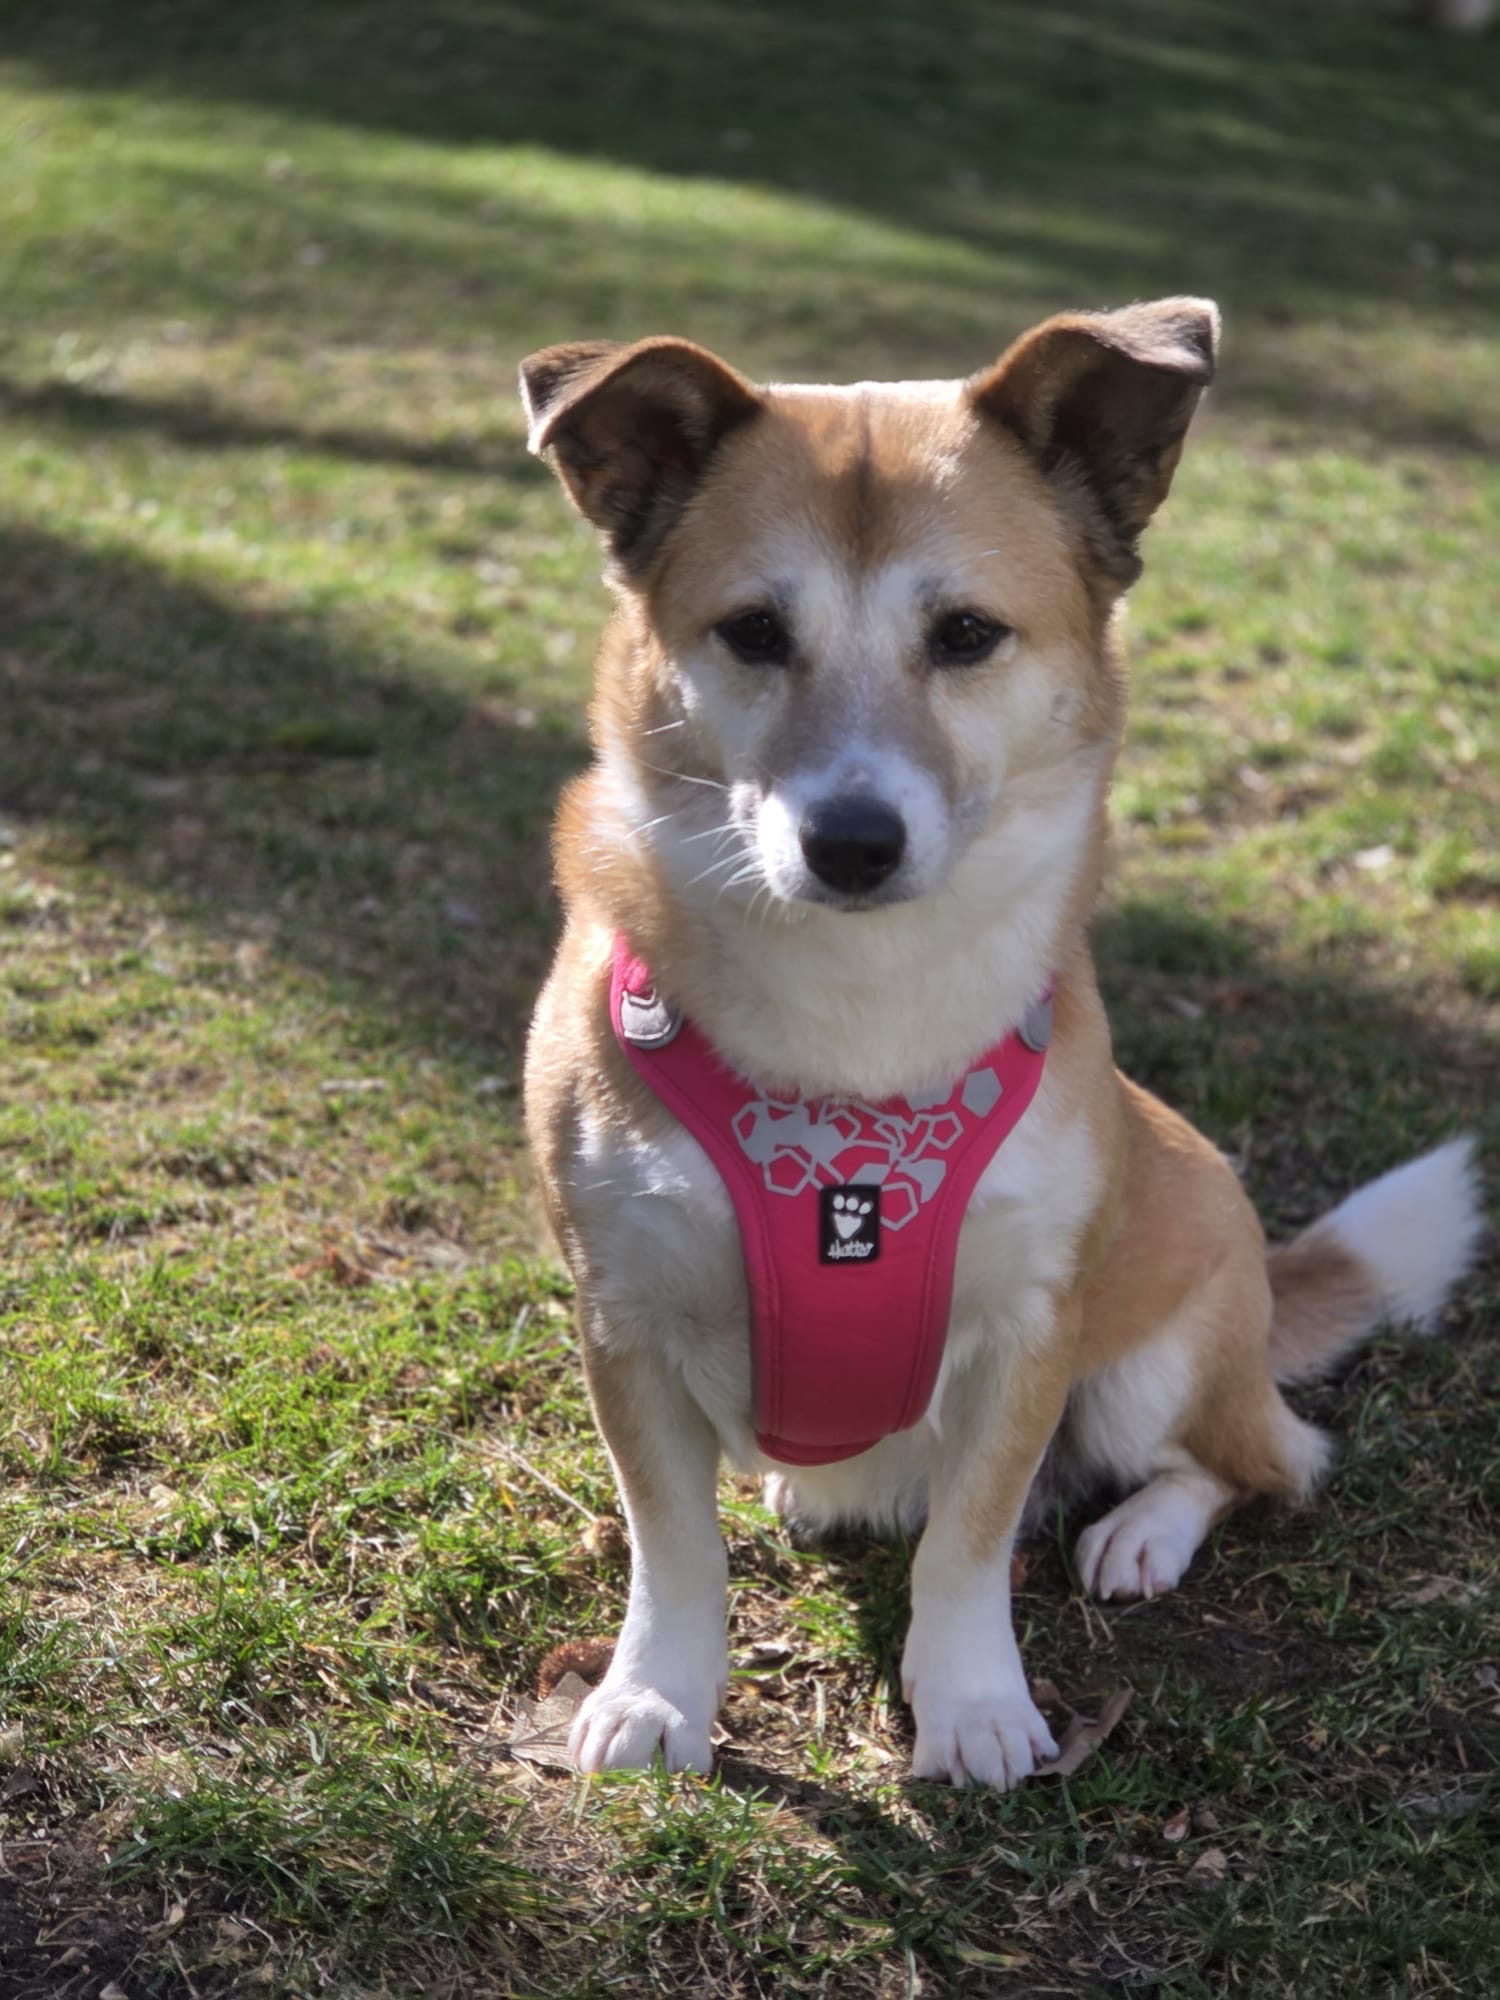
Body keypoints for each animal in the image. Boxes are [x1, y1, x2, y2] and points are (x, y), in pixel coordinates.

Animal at [519, 299, 1480, 1789]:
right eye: (753, 631)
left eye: (967, 632)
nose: (852, 841)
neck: (859, 1016)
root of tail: (1265, 1274)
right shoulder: (622, 1315)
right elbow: (673, 1546)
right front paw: (659, 1693)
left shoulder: (1028, 1331)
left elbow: (970, 1544)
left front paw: (971, 1704)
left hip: (1156, 1361)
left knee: (1258, 1461)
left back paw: (1141, 1530)